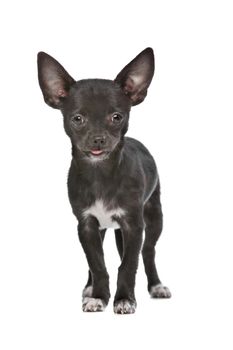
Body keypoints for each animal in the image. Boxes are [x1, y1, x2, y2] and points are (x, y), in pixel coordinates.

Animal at [37, 47, 170, 314]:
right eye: (77, 119)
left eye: (116, 117)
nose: (98, 138)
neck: (101, 174)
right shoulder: (87, 225)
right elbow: (97, 264)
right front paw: (98, 296)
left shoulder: (133, 225)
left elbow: (128, 265)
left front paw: (124, 299)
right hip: (103, 229)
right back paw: (90, 288)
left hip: (154, 218)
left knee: (148, 252)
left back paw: (156, 286)